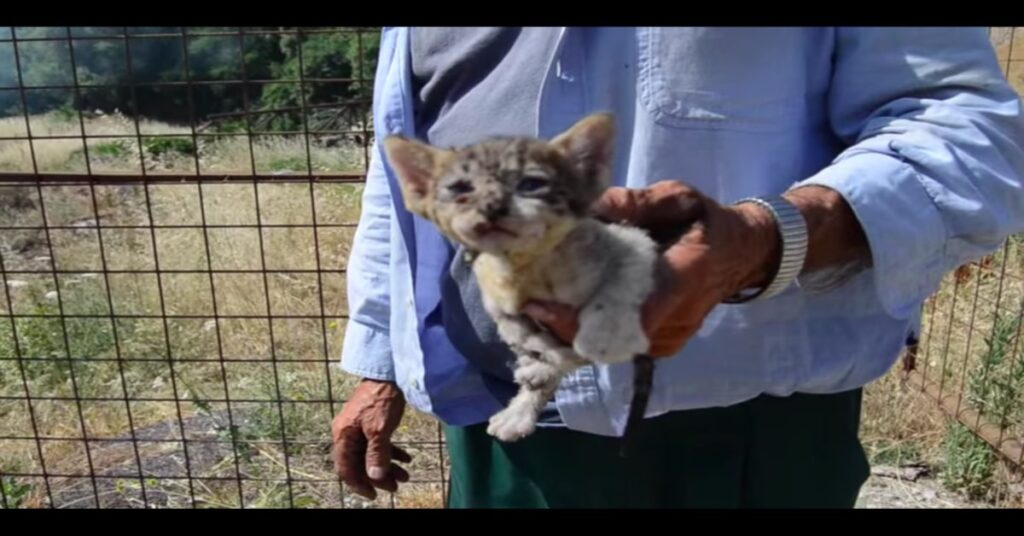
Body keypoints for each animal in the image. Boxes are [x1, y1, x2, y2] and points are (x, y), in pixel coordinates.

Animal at [382, 114, 655, 444]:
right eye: (460, 188)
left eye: (531, 184)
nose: (492, 207)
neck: (526, 266)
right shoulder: (499, 303)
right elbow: (522, 336)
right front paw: (539, 364)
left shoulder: (634, 241)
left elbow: (615, 291)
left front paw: (602, 336)